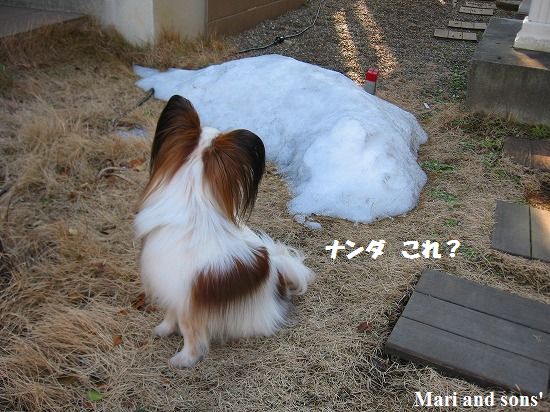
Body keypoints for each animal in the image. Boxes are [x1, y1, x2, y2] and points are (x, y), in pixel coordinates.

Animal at [135, 95, 313, 368]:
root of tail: (278, 275)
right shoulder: (174, 288)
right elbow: (171, 314)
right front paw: (164, 329)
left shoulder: (189, 299)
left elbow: (190, 332)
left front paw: (185, 359)